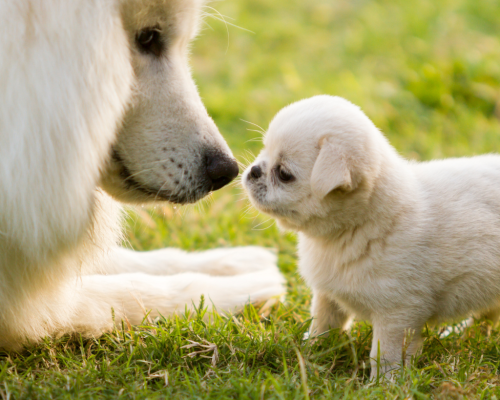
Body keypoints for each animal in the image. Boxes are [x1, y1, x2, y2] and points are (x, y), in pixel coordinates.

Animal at [0, 0, 286, 350]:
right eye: (148, 38)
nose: (226, 171)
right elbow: (129, 292)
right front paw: (237, 290)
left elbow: (118, 260)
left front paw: (229, 262)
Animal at [243, 95, 500, 380]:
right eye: (263, 151)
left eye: (284, 174)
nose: (253, 171)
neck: (351, 229)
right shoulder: (327, 297)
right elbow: (322, 325)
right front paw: (311, 352)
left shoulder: (396, 315)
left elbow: (384, 355)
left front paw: (384, 383)